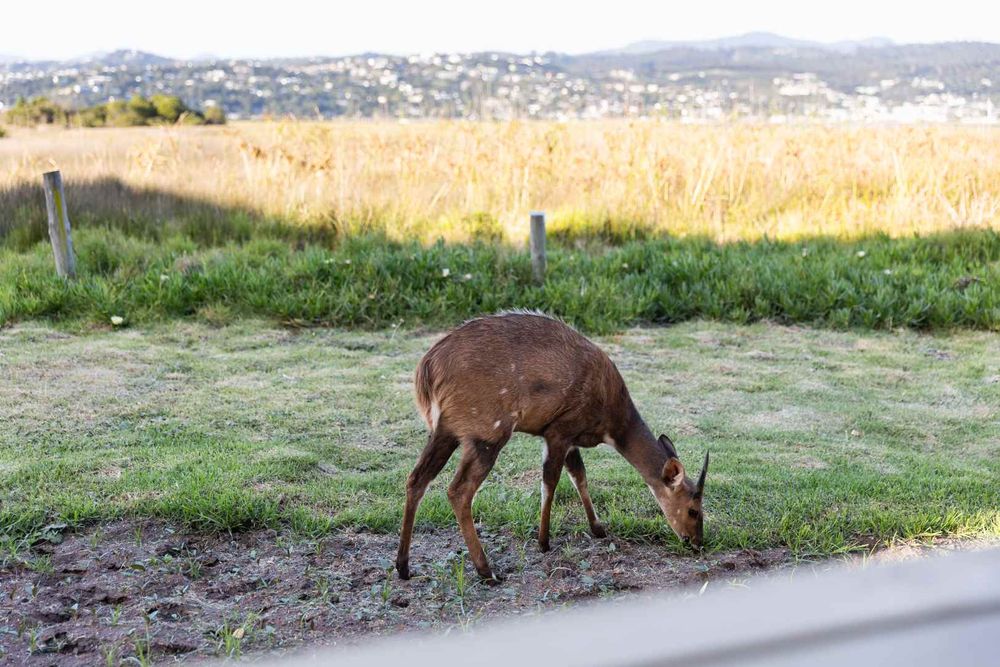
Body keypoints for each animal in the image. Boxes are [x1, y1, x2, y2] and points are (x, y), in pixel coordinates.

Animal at [395, 311, 709, 582]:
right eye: (694, 510)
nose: (697, 542)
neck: (613, 421)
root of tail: (427, 369)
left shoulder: (570, 439)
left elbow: (579, 476)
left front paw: (598, 529)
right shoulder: (559, 430)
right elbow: (551, 481)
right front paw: (544, 542)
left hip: (445, 431)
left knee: (416, 479)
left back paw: (403, 567)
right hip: (488, 433)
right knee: (458, 489)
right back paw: (487, 572)